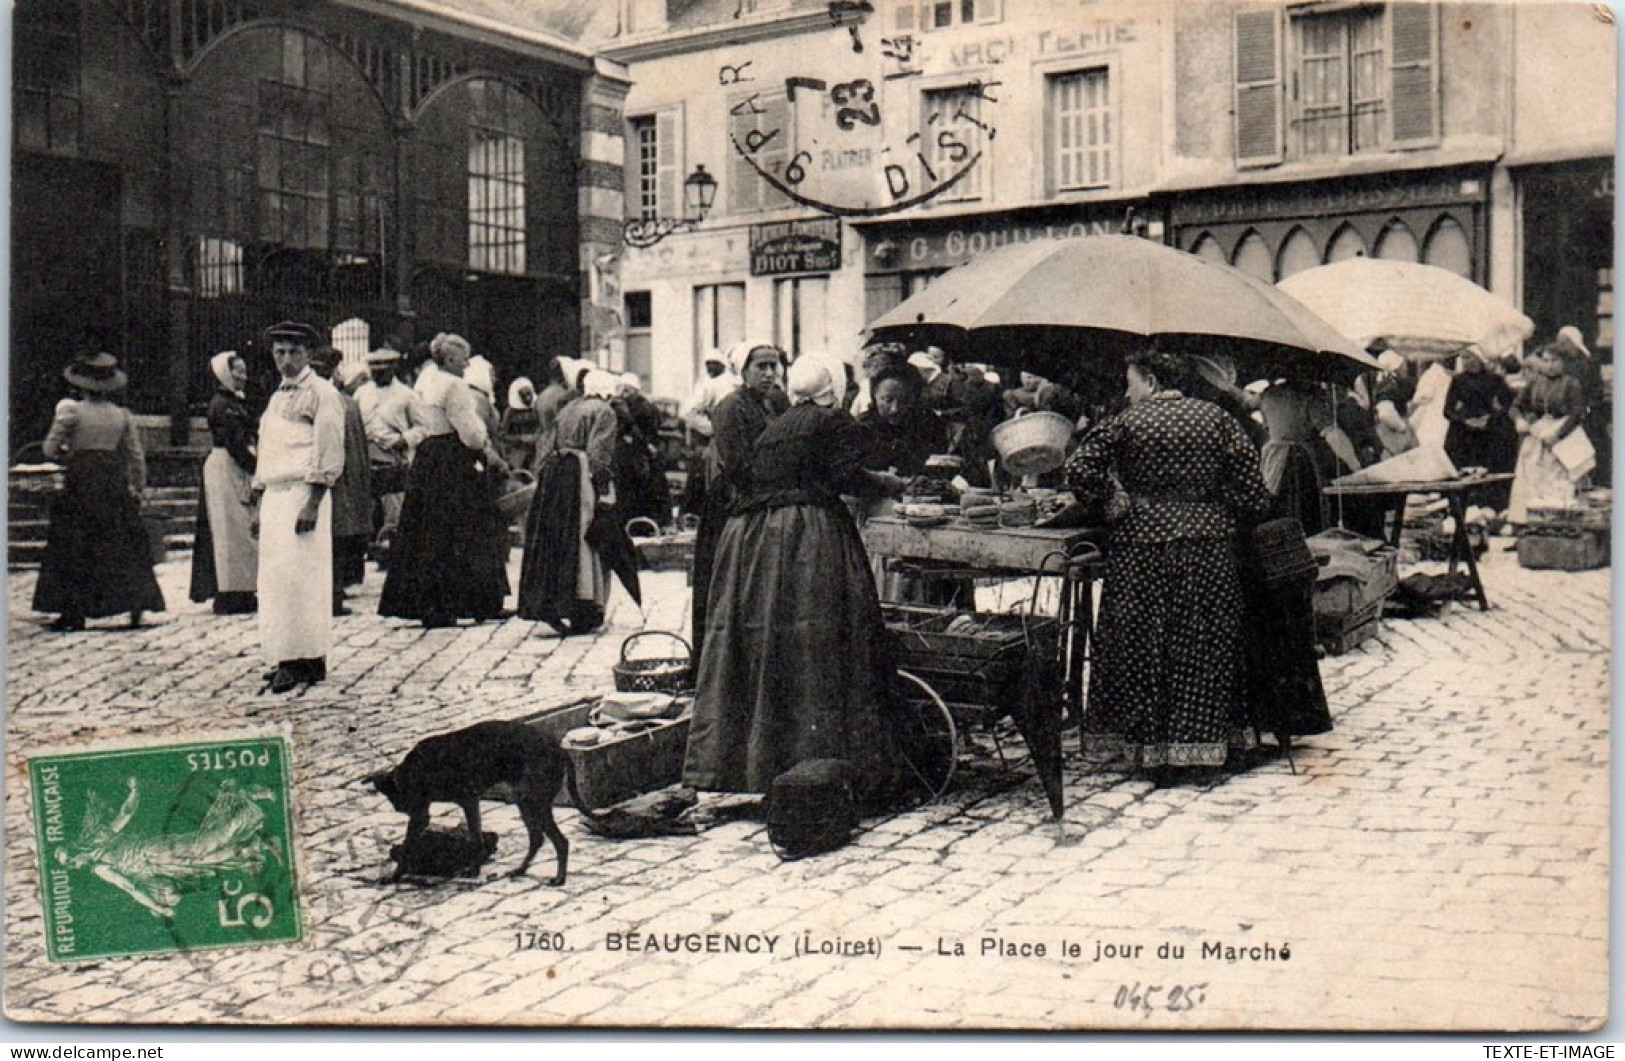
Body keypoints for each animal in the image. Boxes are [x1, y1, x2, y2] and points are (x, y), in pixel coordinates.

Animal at [372, 721, 575, 883]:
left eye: (400, 801)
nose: (400, 809)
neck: (414, 770)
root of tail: (560, 749)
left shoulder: (461, 802)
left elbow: (473, 840)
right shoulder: (463, 804)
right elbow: (475, 837)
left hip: (534, 803)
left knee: (560, 841)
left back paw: (559, 878)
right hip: (525, 803)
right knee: (537, 839)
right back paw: (521, 869)